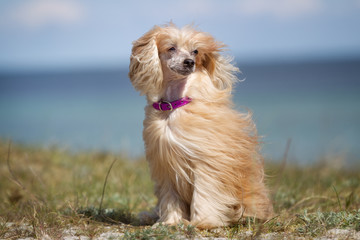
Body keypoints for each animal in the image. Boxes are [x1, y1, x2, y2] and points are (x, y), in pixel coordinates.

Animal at [129, 23, 272, 229]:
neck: (174, 105)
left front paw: (201, 223)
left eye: (195, 51)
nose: (189, 62)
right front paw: (171, 222)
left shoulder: (207, 163)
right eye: (171, 48)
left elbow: (204, 195)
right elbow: (170, 198)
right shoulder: (166, 165)